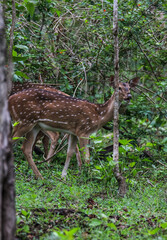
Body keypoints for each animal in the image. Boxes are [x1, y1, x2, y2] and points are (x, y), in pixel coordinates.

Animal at [9, 76, 140, 178]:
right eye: (119, 88)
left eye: (130, 88)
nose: (129, 96)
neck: (98, 115)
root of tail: (10, 100)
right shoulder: (83, 130)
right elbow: (86, 156)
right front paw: (89, 176)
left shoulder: (73, 132)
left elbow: (70, 152)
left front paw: (63, 176)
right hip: (24, 120)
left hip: (34, 125)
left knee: (26, 148)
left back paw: (39, 176)